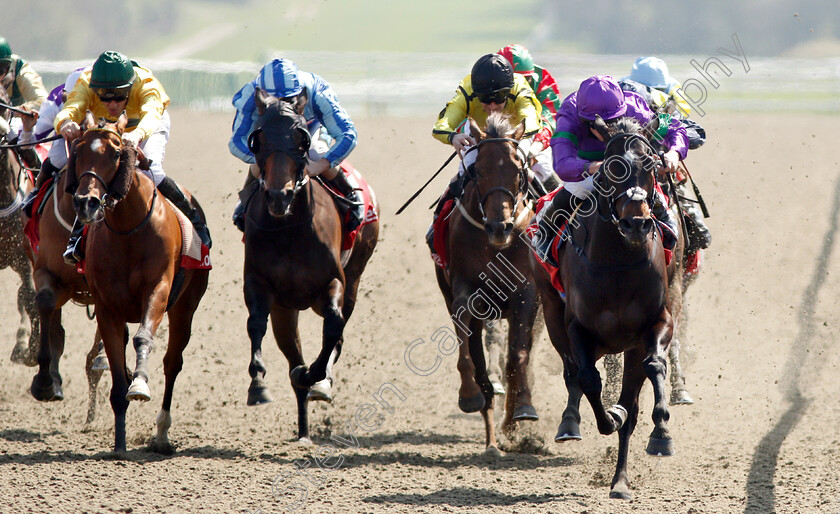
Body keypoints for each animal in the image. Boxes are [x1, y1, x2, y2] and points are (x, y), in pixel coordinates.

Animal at [69, 111, 210, 448]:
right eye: (77, 151)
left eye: (116, 153)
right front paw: (119, 441)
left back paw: (161, 432)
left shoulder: (158, 290)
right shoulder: (107, 307)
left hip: (186, 306)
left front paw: (140, 385)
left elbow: (143, 337)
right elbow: (116, 371)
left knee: (173, 362)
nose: (86, 202)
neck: (127, 229)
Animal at [244, 88, 378, 440]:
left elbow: (333, 325)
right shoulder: (261, 285)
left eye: (301, 139)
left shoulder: (333, 281)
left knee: (337, 332)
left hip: (355, 277)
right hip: (287, 310)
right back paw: (303, 428)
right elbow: (256, 323)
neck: (289, 229)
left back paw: (318, 383)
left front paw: (316, 376)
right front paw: (258, 383)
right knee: (292, 354)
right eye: (258, 139)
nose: (279, 195)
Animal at [434, 112, 540, 448]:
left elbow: (517, 357)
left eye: (518, 171)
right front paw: (469, 396)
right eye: (478, 170)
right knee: (482, 369)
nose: (499, 227)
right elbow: (468, 346)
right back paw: (492, 437)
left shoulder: (527, 292)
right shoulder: (466, 290)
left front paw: (523, 409)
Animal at [536, 115, 684, 496]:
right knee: (573, 371)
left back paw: (620, 480)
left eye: (651, 164)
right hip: (552, 313)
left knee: (632, 396)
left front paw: (662, 433)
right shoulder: (577, 328)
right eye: (608, 170)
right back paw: (571, 424)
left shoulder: (657, 321)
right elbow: (589, 380)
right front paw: (609, 415)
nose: (636, 223)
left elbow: (654, 367)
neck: (617, 263)